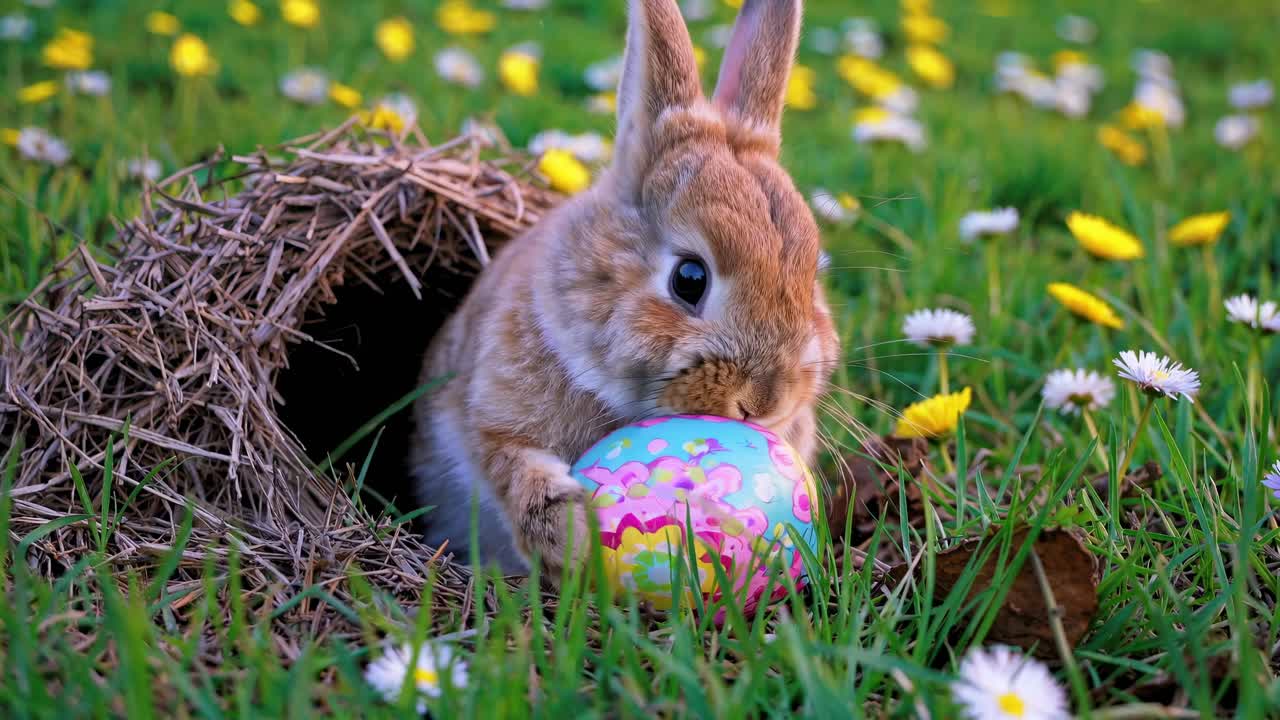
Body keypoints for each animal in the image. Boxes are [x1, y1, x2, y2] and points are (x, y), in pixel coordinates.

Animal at [410, 0, 839, 577]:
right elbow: (511, 465)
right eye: (689, 279)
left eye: (811, 279)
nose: (764, 402)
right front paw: (575, 537)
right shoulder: (491, 419)